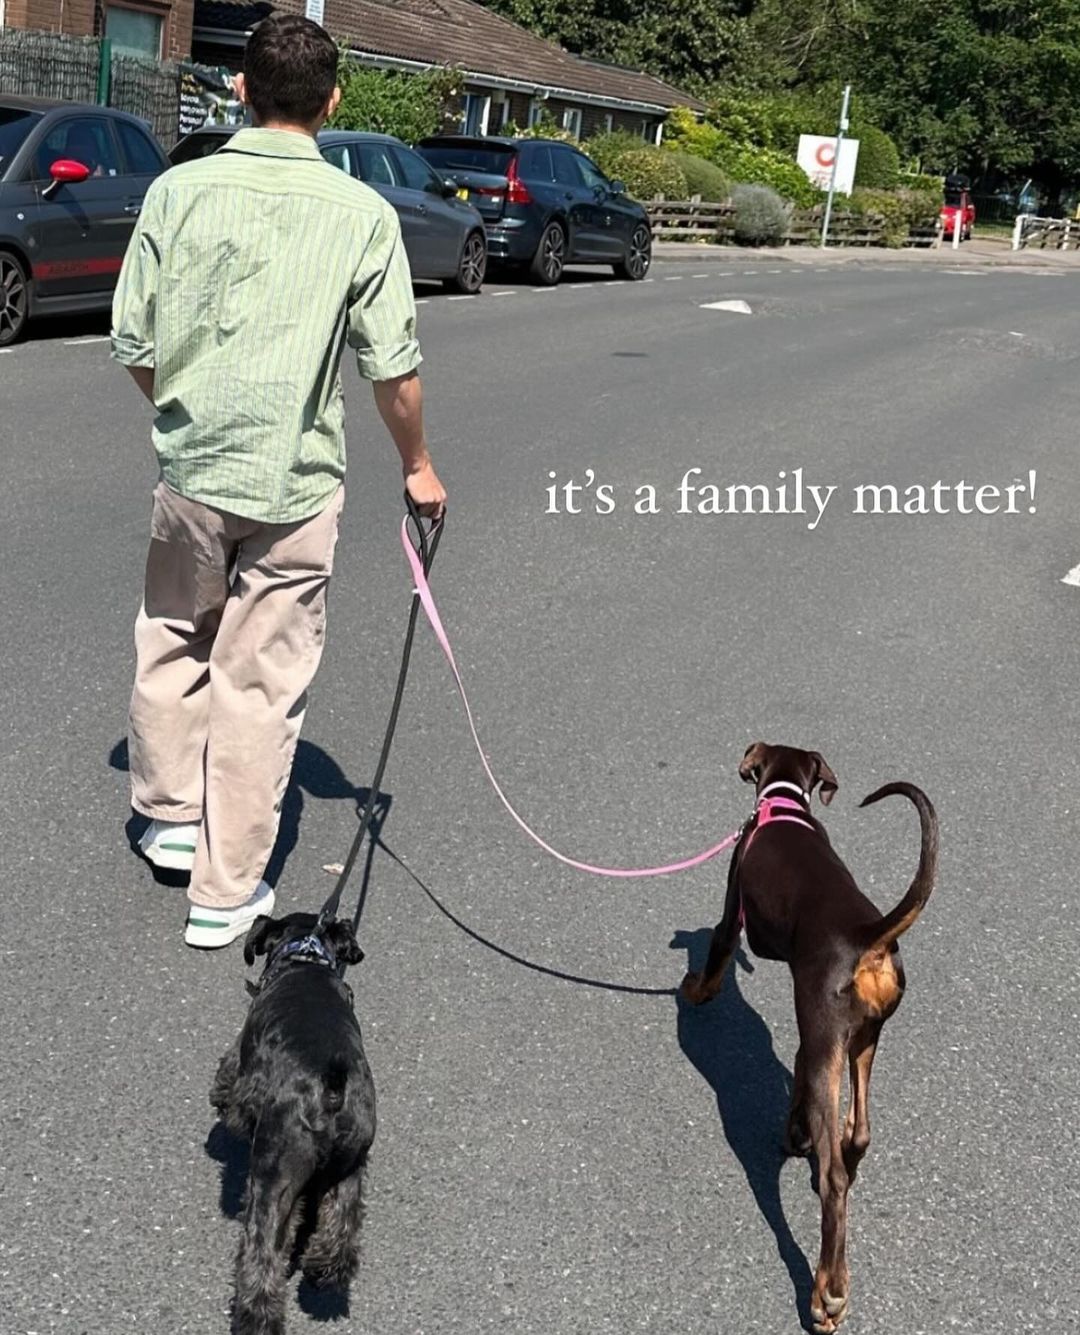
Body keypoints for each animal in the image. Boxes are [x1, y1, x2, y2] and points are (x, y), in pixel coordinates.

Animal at [212, 913, 376, 1329]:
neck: (306, 956)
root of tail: (331, 1089)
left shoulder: (240, 1060)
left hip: (274, 1175)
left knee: (264, 1251)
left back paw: (255, 1317)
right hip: (349, 1165)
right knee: (342, 1226)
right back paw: (323, 1269)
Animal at [683, 747, 934, 1329]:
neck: (784, 803)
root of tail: (869, 937)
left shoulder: (732, 911)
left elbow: (717, 954)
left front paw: (695, 989)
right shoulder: (820, 1042)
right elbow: (795, 1073)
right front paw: (795, 1131)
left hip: (832, 1039)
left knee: (835, 1181)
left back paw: (828, 1292)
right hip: (863, 1039)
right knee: (857, 1134)